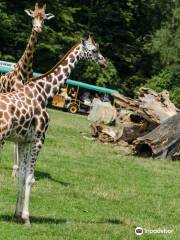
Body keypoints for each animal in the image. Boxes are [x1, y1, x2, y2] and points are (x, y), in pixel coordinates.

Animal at [0, 2, 54, 177]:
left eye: (44, 18)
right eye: (33, 17)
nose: (37, 29)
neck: (24, 71)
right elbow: (16, 143)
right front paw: (15, 169)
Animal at [0, 35, 107, 225]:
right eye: (95, 50)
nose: (104, 62)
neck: (45, 92)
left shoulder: (24, 141)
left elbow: (21, 176)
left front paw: (17, 214)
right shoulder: (39, 139)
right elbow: (30, 178)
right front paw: (27, 217)